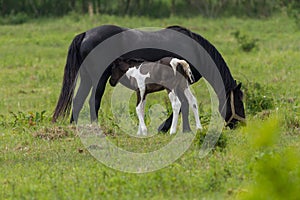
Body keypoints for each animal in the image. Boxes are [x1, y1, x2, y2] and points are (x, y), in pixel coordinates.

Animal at [52, 24, 246, 130]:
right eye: (238, 102)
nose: (241, 124)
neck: (194, 49)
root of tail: (85, 34)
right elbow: (182, 105)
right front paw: (165, 128)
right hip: (98, 78)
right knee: (94, 100)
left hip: (86, 78)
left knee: (78, 100)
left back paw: (74, 126)